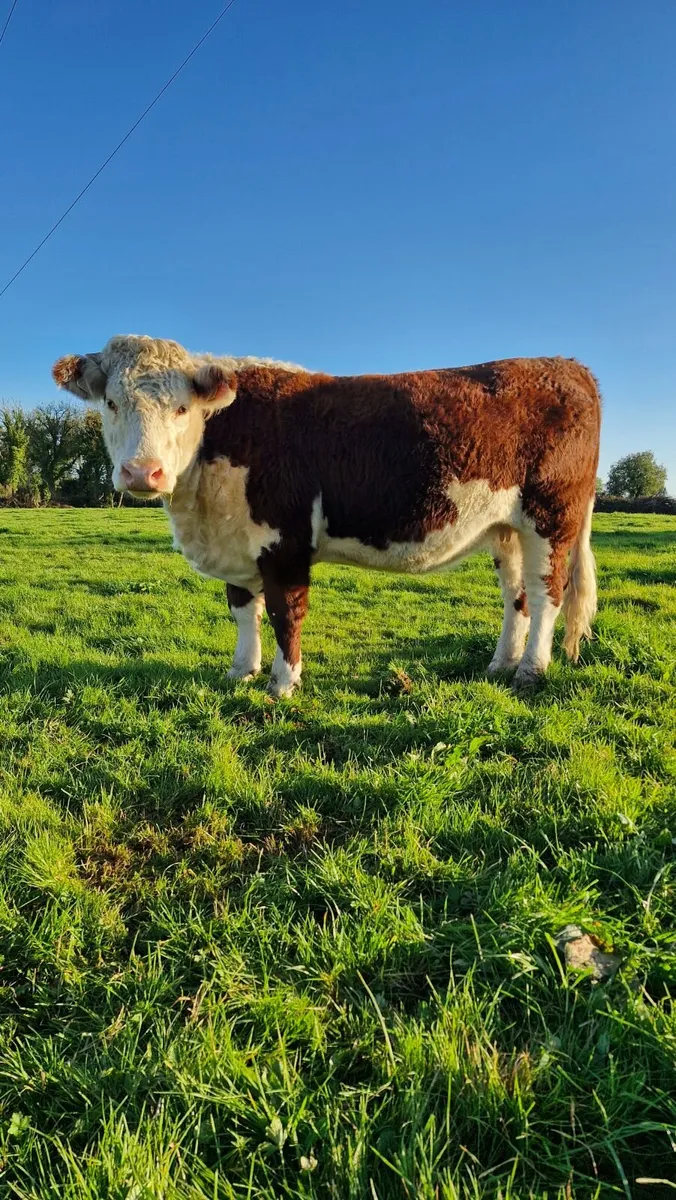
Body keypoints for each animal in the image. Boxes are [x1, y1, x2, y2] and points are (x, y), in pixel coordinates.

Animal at [52, 336, 600, 698]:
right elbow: (243, 609)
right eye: (111, 402)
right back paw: (500, 664)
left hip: (551, 517)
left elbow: (284, 612)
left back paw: (531, 670)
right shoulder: (237, 541)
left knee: (548, 593)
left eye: (182, 408)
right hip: (505, 528)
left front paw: (283, 683)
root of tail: (567, 365)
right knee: (516, 595)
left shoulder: (284, 542)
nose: (143, 472)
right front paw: (241, 670)